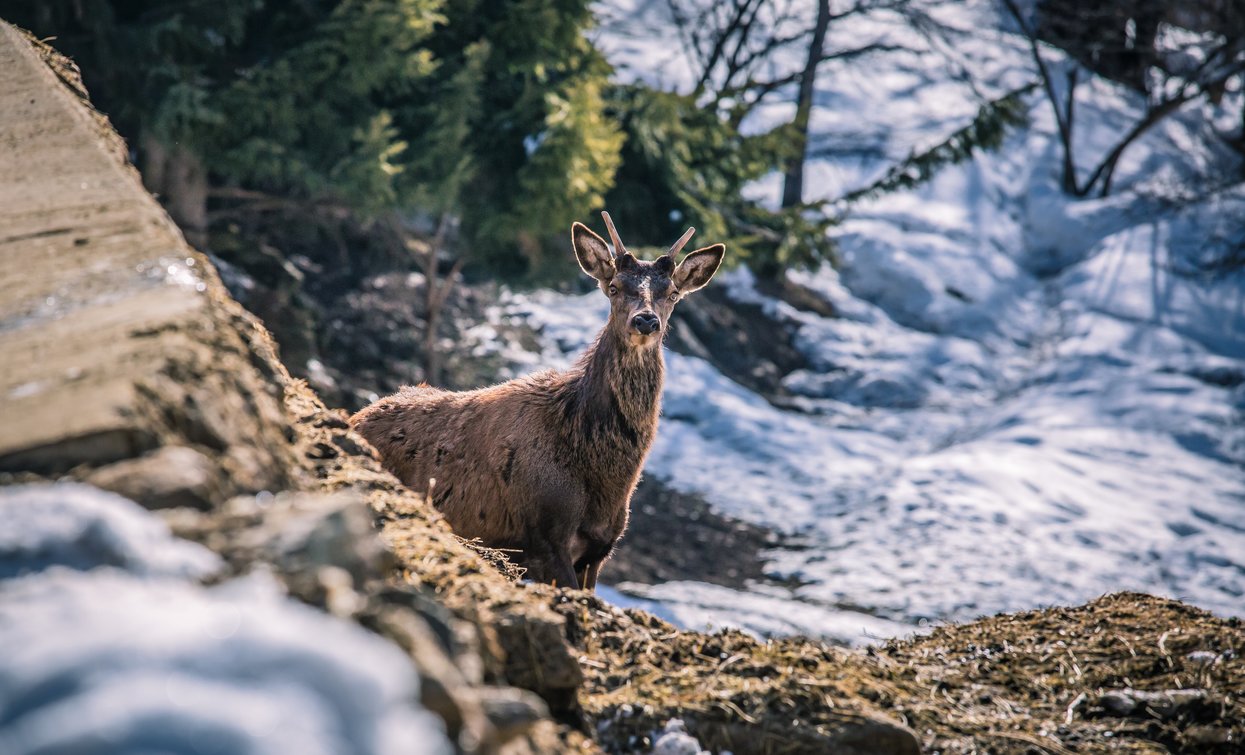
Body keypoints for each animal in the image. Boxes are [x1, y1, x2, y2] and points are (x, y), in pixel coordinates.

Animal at [346, 213, 727, 593]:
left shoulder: (599, 551)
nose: (645, 320)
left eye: (673, 293)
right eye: (614, 287)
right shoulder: (544, 538)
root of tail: (355, 416)